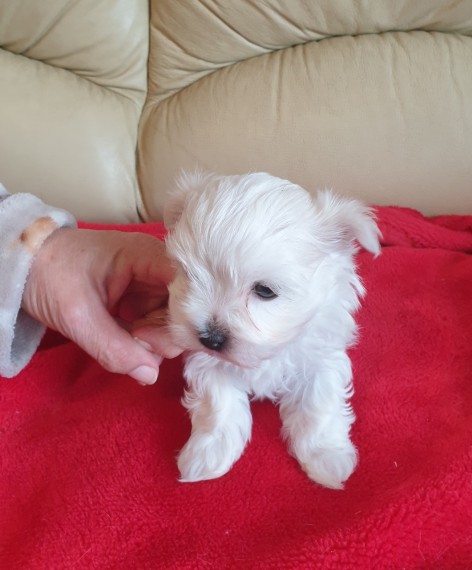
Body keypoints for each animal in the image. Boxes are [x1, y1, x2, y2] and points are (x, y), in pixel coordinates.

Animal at [164, 171, 382, 486]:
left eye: (265, 291)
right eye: (189, 275)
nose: (211, 338)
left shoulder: (322, 357)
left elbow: (319, 404)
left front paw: (326, 456)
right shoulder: (206, 362)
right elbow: (218, 401)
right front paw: (207, 454)